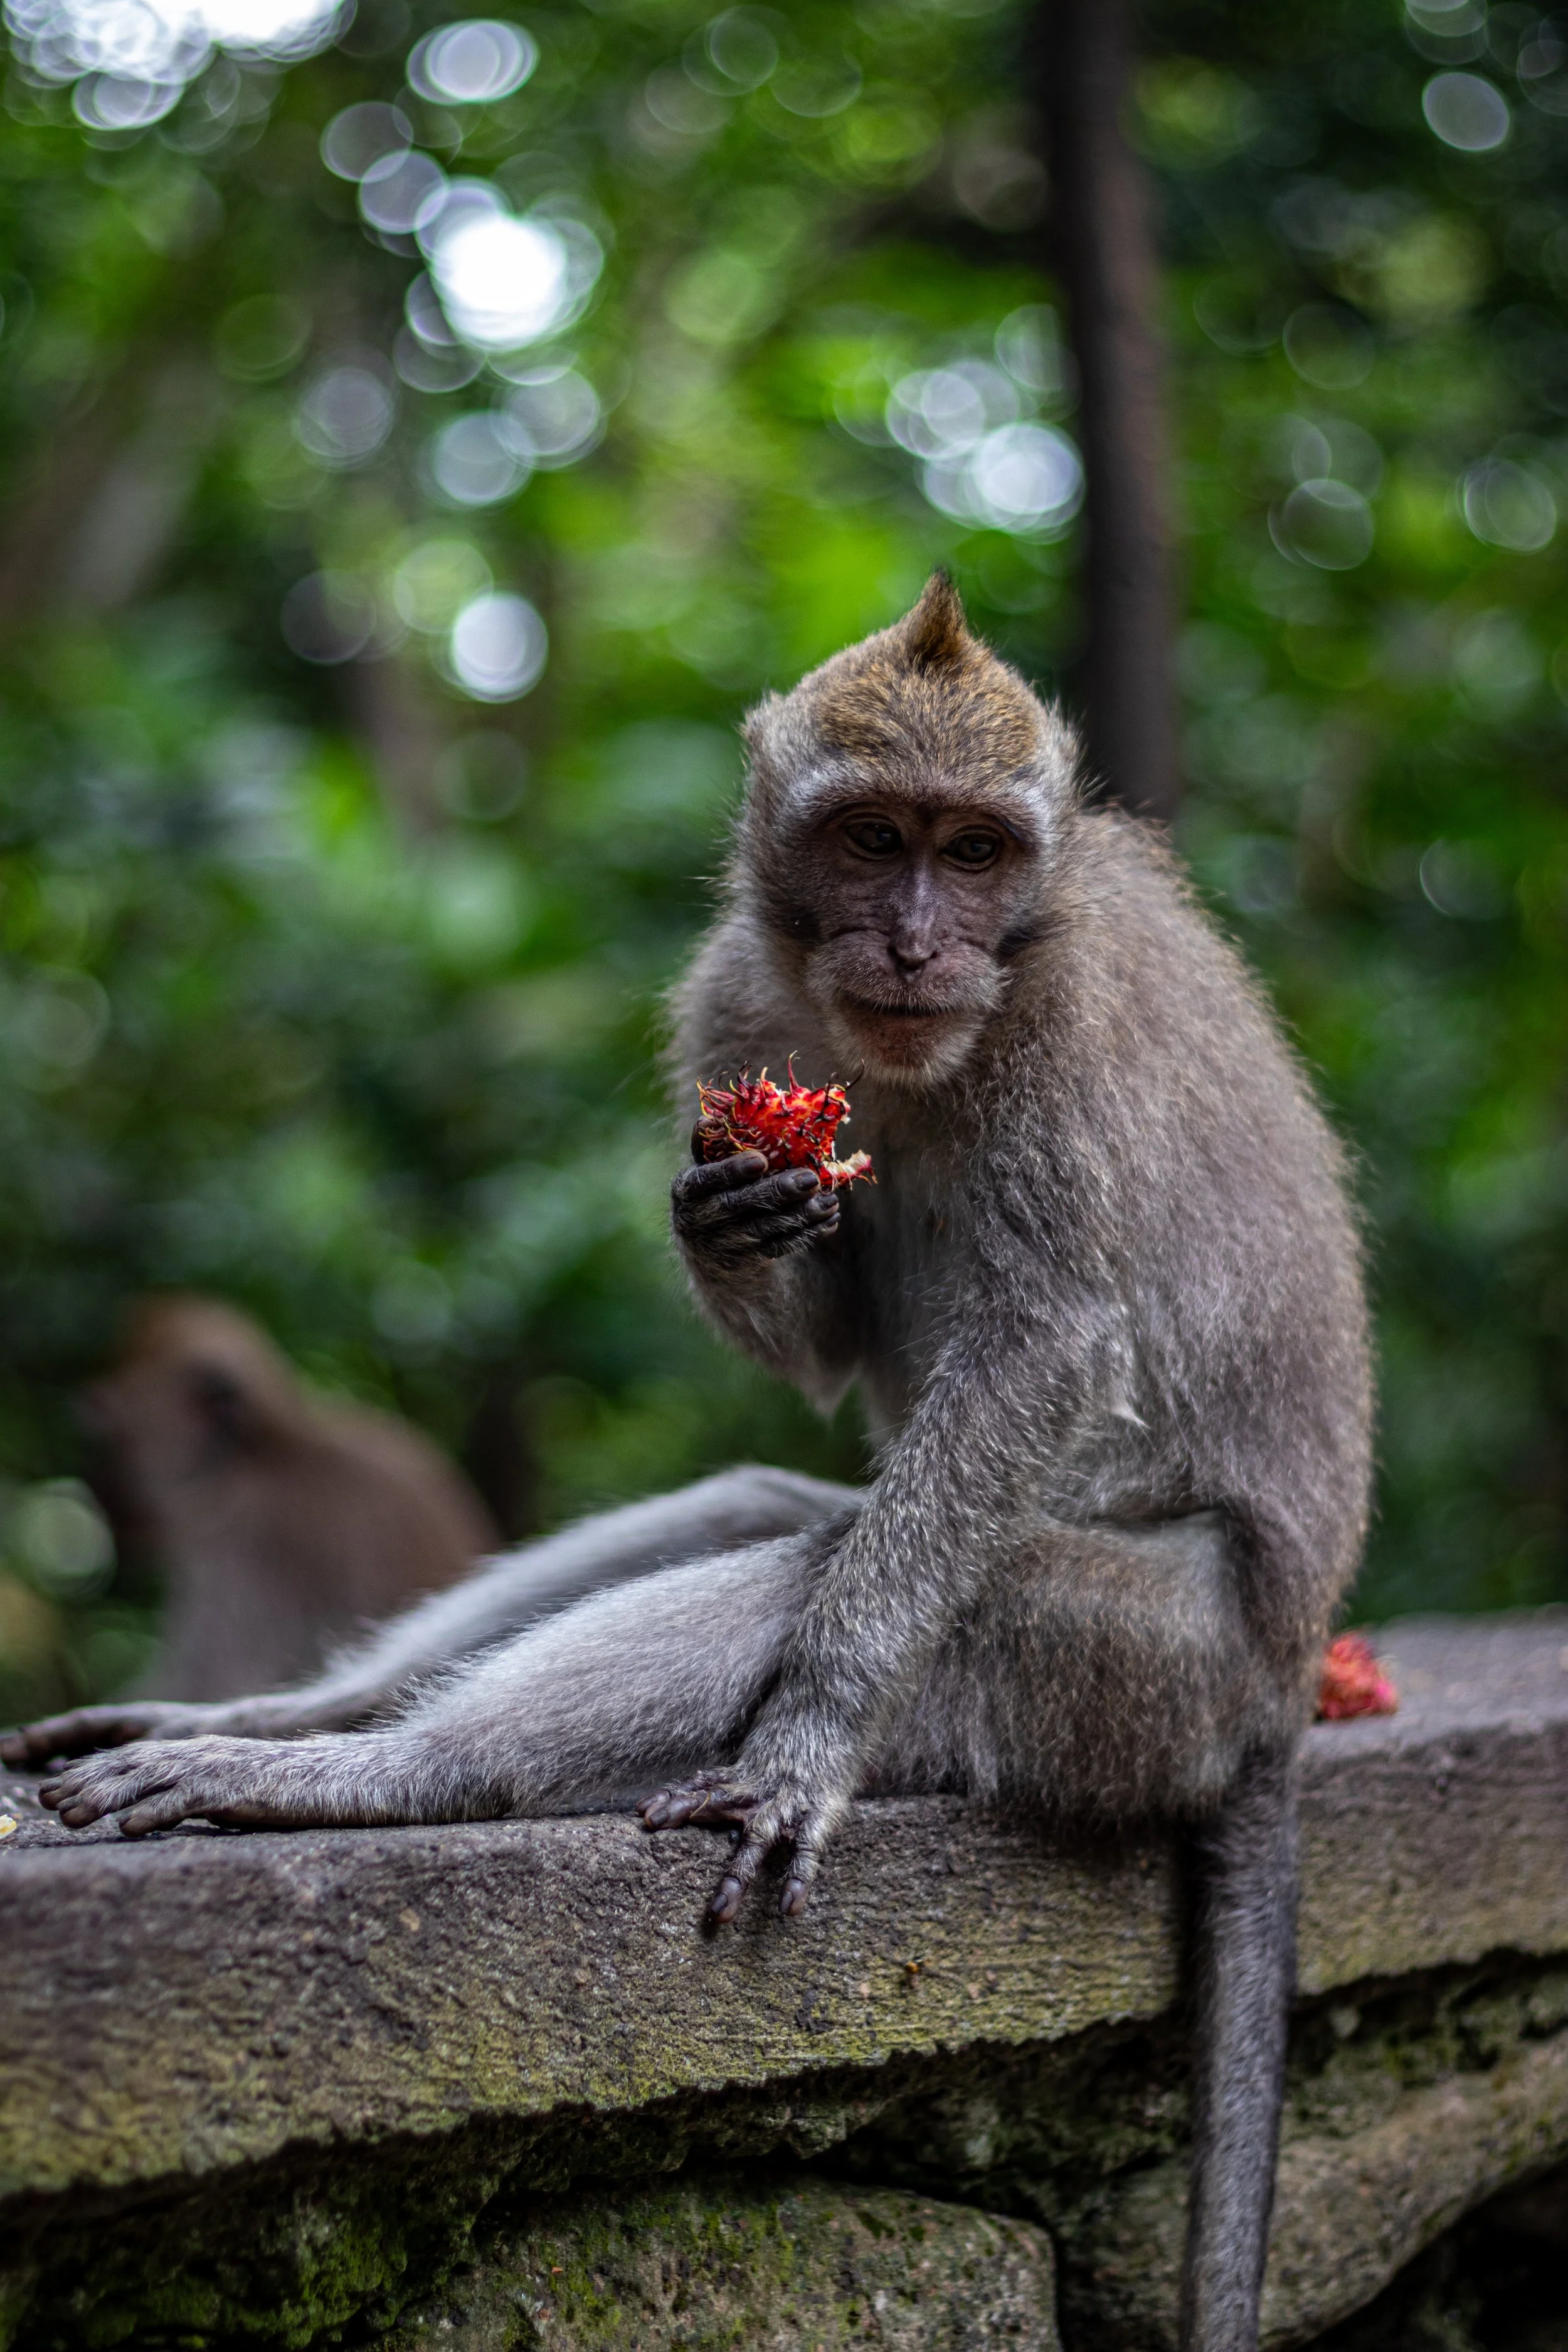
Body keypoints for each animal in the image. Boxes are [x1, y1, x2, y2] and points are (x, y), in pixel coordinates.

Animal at [6, 581, 1370, 2352]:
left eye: (974, 853)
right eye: (870, 838)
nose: (916, 941)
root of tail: (1278, 1691)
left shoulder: (1060, 1039)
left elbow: (1046, 1355)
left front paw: (802, 1746)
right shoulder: (737, 999)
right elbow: (829, 1339)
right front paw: (726, 1220)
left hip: (1146, 1672)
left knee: (855, 1577)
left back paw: (387, 1776)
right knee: (763, 1514)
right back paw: (293, 1718)